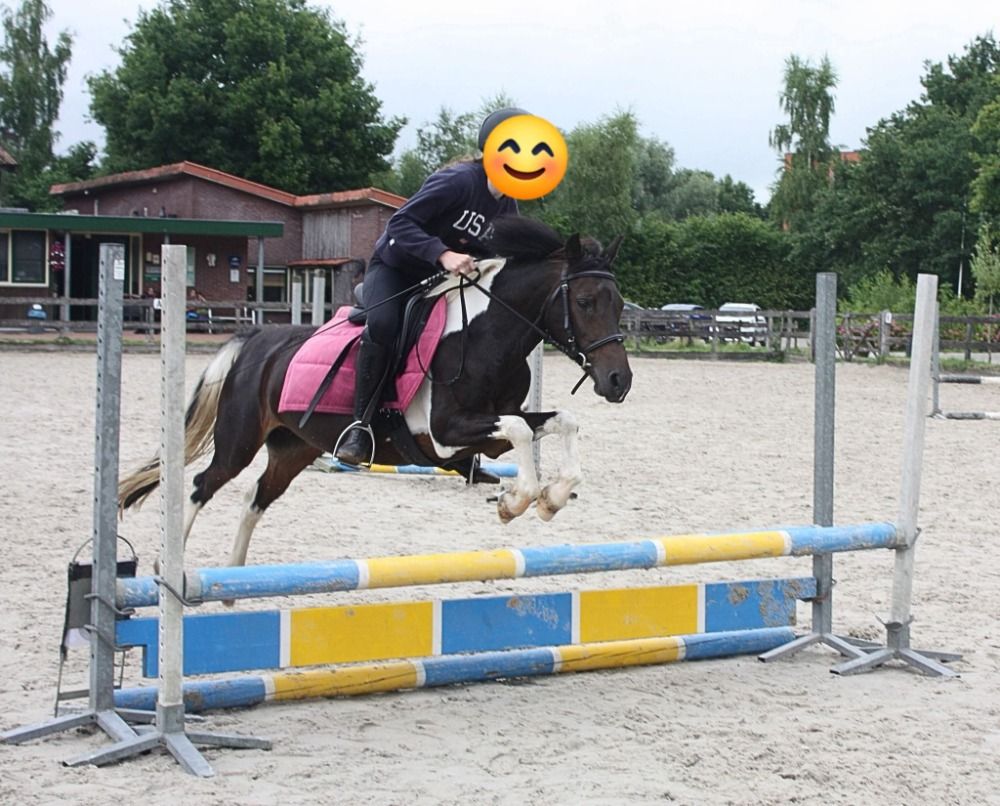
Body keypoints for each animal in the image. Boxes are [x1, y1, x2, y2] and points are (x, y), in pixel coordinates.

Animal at [118, 216, 633, 568]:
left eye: (620, 303)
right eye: (584, 301)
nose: (619, 381)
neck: (484, 335)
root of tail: (255, 341)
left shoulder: (489, 432)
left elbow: (560, 422)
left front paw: (551, 497)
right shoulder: (444, 434)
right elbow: (522, 433)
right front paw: (517, 501)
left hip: (294, 448)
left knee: (256, 497)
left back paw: (232, 580)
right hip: (239, 440)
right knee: (202, 486)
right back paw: (171, 571)